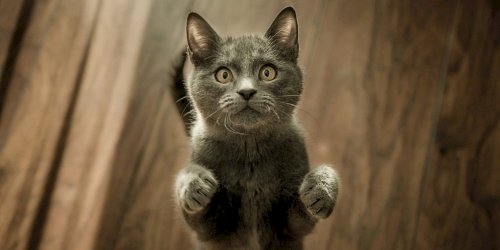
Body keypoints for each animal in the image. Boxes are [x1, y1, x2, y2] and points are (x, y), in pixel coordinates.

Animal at [173, 6, 340, 249]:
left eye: (267, 72)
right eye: (223, 74)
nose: (246, 91)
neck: (249, 147)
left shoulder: (290, 230)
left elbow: (305, 212)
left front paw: (321, 188)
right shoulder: (210, 233)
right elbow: (191, 192)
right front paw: (194, 184)